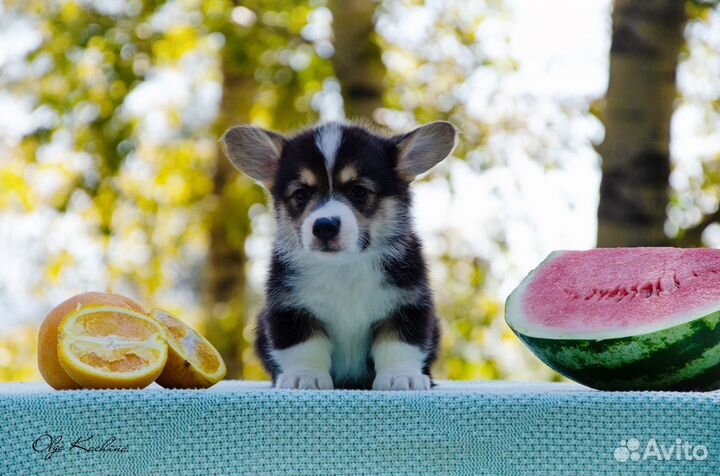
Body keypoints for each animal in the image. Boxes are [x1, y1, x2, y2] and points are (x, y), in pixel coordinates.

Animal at [221, 121, 456, 388]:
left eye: (359, 191)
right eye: (301, 194)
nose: (324, 226)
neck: (343, 266)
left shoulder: (408, 304)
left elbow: (398, 345)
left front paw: (401, 377)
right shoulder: (289, 309)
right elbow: (305, 347)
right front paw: (304, 377)